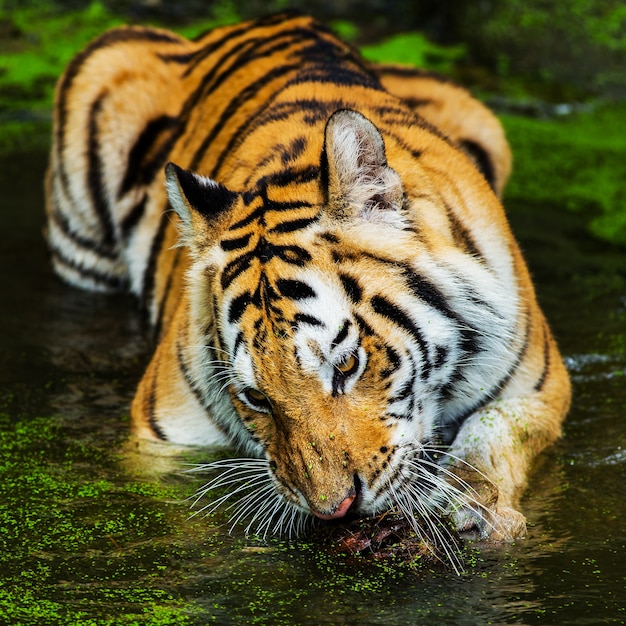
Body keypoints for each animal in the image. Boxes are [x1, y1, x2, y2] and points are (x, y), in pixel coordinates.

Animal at [46, 9, 568, 544]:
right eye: (256, 397)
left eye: (347, 365)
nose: (334, 510)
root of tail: (274, 17)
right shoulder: (161, 434)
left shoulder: (539, 386)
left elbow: (495, 431)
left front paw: (471, 506)